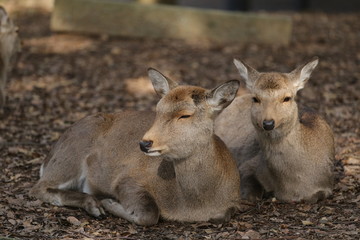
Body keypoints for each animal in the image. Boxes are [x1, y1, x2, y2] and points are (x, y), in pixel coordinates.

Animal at [29, 68, 240, 225]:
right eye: (158, 110)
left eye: (185, 115)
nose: (145, 143)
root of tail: (49, 157)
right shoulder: (127, 179)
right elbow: (149, 214)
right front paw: (110, 202)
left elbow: (222, 216)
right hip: (70, 155)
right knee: (39, 187)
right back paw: (95, 205)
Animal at [215, 58, 336, 202]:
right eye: (255, 98)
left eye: (287, 98)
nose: (268, 123)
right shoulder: (248, 165)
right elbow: (252, 194)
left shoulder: (327, 184)